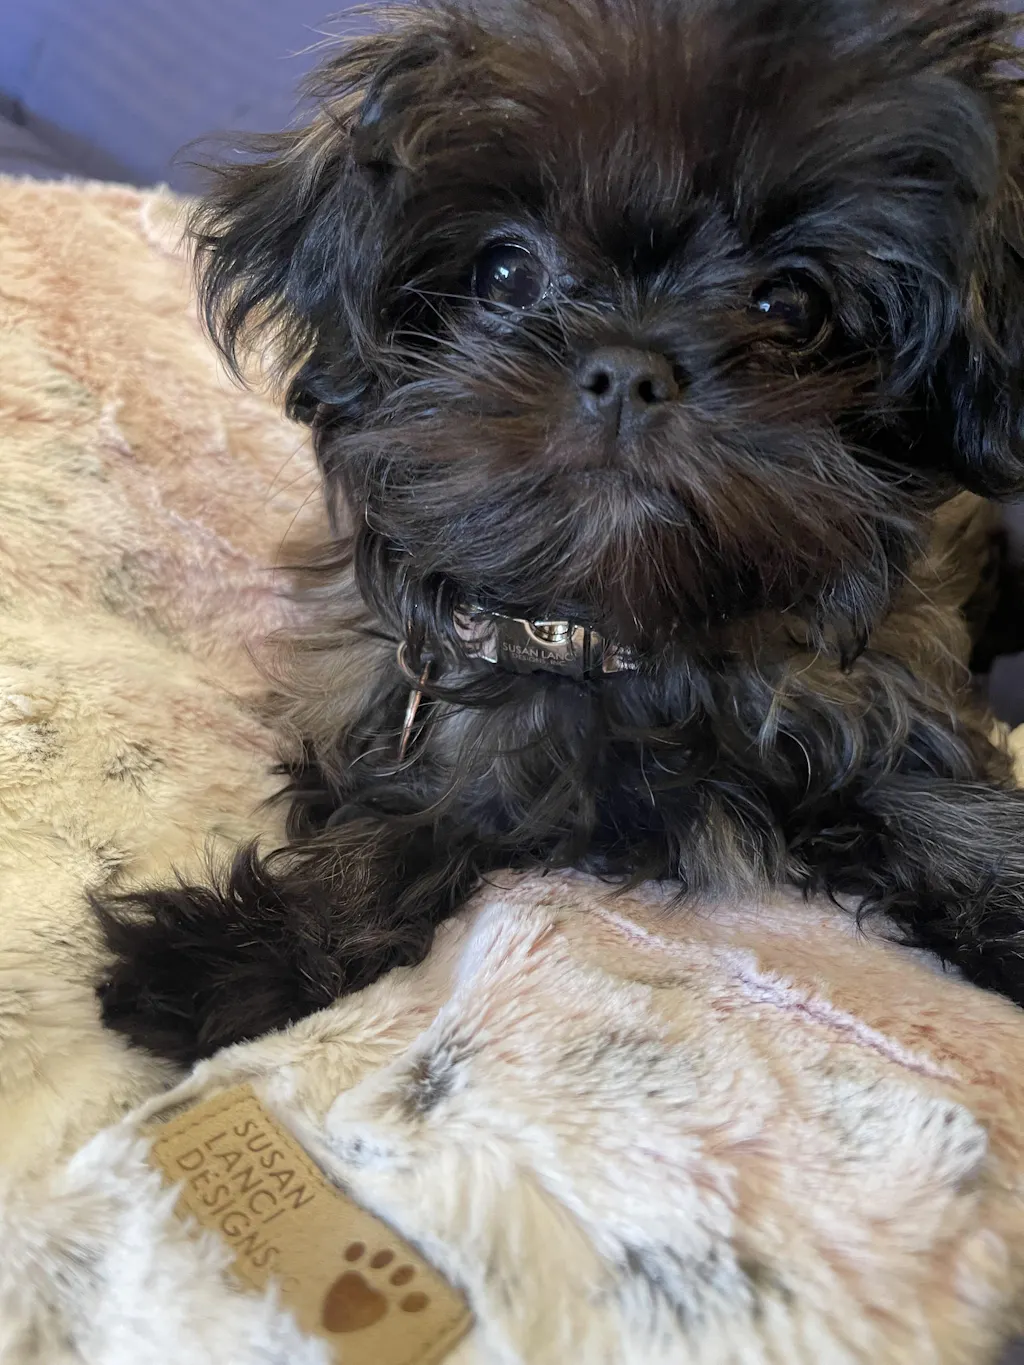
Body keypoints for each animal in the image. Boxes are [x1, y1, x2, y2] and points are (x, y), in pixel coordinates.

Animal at [96, 0, 1024, 1065]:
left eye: (790, 303)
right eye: (505, 271)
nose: (629, 367)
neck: (619, 631)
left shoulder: (876, 699)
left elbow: (938, 807)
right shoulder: (405, 714)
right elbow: (393, 824)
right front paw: (246, 947)